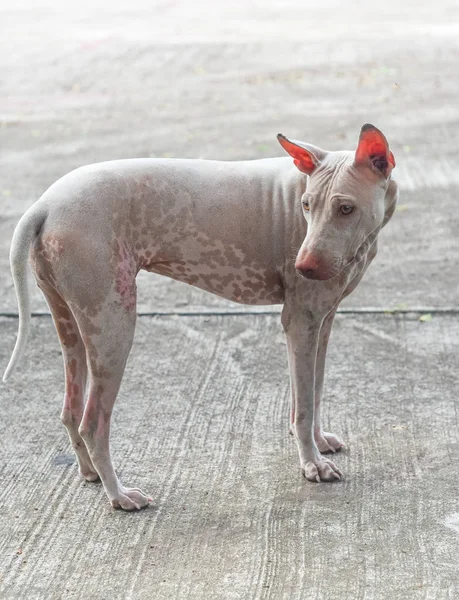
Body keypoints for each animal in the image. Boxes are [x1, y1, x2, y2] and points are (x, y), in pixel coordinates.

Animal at [2, 124, 398, 508]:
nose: (304, 267)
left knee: (70, 409)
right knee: (92, 423)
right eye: (305, 205)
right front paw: (312, 464)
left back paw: (91, 474)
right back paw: (119, 495)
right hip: (113, 325)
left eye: (345, 208)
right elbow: (303, 406)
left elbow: (313, 392)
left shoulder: (322, 321)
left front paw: (319, 444)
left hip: (72, 322)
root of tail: (45, 205)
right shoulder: (301, 321)